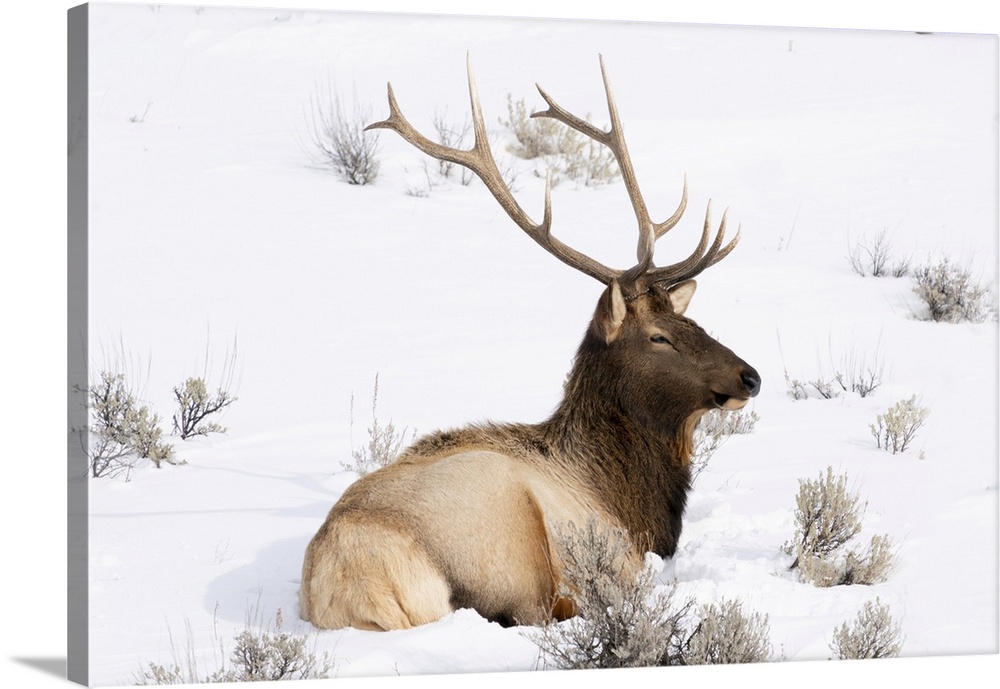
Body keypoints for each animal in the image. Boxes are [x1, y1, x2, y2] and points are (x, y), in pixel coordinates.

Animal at [300, 55, 760, 632]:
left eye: (693, 321)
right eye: (659, 336)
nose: (751, 376)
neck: (629, 498)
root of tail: (361, 585)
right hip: (511, 530)